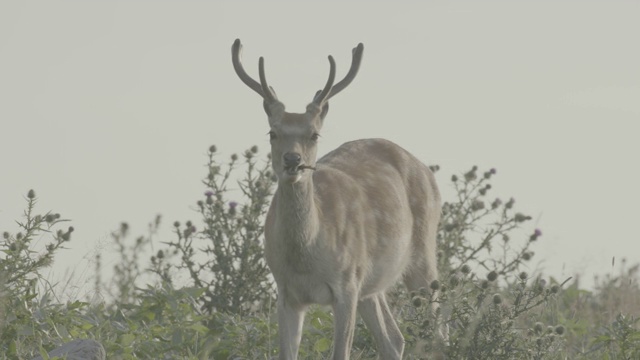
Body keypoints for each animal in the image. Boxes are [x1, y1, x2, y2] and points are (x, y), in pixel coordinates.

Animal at [232, 39, 442, 360]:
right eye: (272, 132)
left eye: (314, 134)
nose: (292, 160)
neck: (307, 257)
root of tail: (426, 171)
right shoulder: (286, 291)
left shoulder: (346, 284)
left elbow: (340, 353)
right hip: (371, 285)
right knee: (394, 338)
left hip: (422, 254)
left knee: (440, 331)